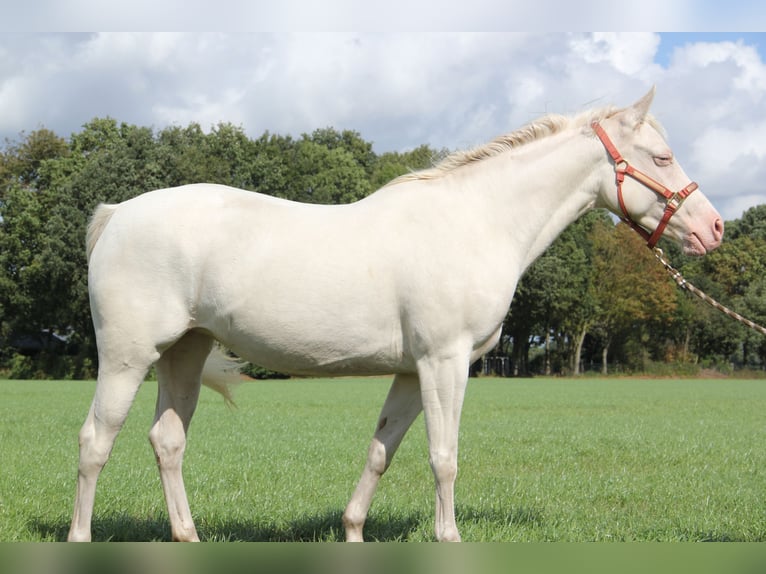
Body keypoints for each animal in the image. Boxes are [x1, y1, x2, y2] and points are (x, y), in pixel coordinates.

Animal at [68, 88, 723, 542]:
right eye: (662, 156)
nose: (713, 228)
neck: (477, 220)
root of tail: (117, 213)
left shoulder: (412, 370)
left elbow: (382, 450)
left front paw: (353, 530)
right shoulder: (445, 362)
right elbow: (443, 457)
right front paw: (449, 538)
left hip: (187, 349)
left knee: (167, 441)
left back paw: (189, 537)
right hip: (127, 357)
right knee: (95, 440)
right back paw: (82, 537)